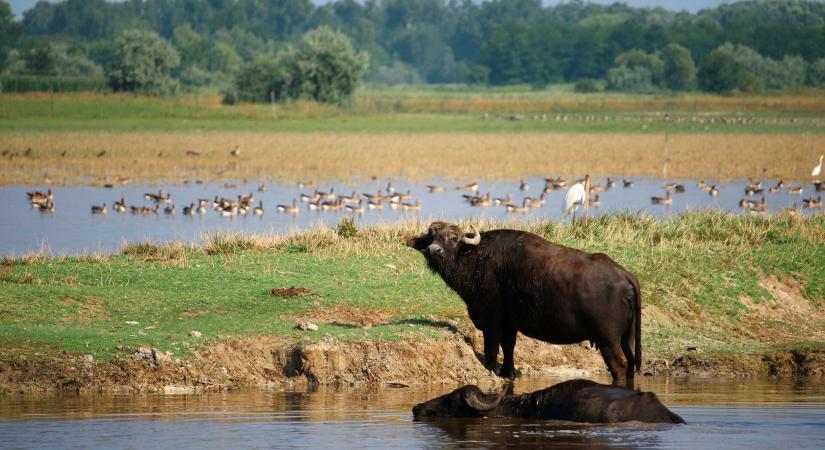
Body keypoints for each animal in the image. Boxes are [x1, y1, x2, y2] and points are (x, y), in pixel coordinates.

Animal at [408, 221, 640, 386]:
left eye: (453, 238)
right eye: (432, 237)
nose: (434, 250)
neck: (476, 257)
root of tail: (625, 275)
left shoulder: (491, 320)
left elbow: (492, 348)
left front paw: (491, 371)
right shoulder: (510, 323)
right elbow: (509, 345)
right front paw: (508, 372)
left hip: (608, 340)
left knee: (619, 365)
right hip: (627, 339)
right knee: (630, 364)